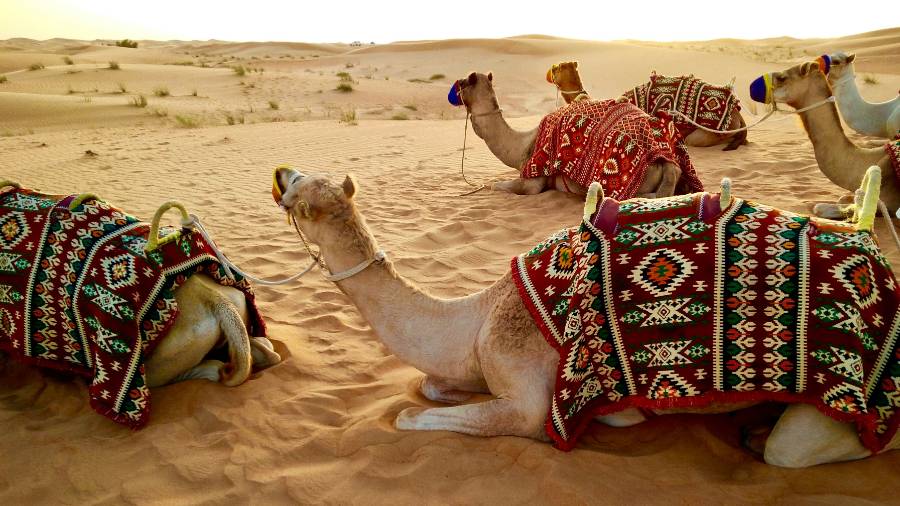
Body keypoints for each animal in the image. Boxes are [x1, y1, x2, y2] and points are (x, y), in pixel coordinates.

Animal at [272, 165, 900, 468]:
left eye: (300, 193)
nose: (279, 172)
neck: (478, 315)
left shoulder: (528, 400)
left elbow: (411, 415)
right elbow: (430, 387)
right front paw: (624, 416)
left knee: (804, 449)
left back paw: (760, 436)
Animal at [451, 71, 684, 198]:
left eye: (462, 83)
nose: (453, 92)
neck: (522, 145)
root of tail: (666, 161)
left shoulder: (533, 181)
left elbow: (495, 185)